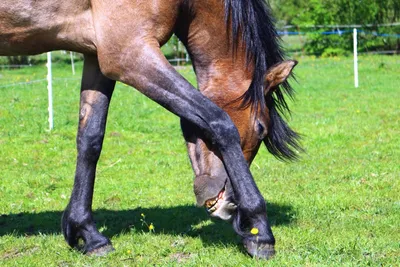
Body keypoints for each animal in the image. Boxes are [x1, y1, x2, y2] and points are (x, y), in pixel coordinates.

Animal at [0, 0, 300, 260]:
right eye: (260, 128)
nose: (229, 205)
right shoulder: (130, 54)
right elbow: (219, 122)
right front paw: (260, 231)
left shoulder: (97, 57)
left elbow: (90, 140)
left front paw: (87, 233)